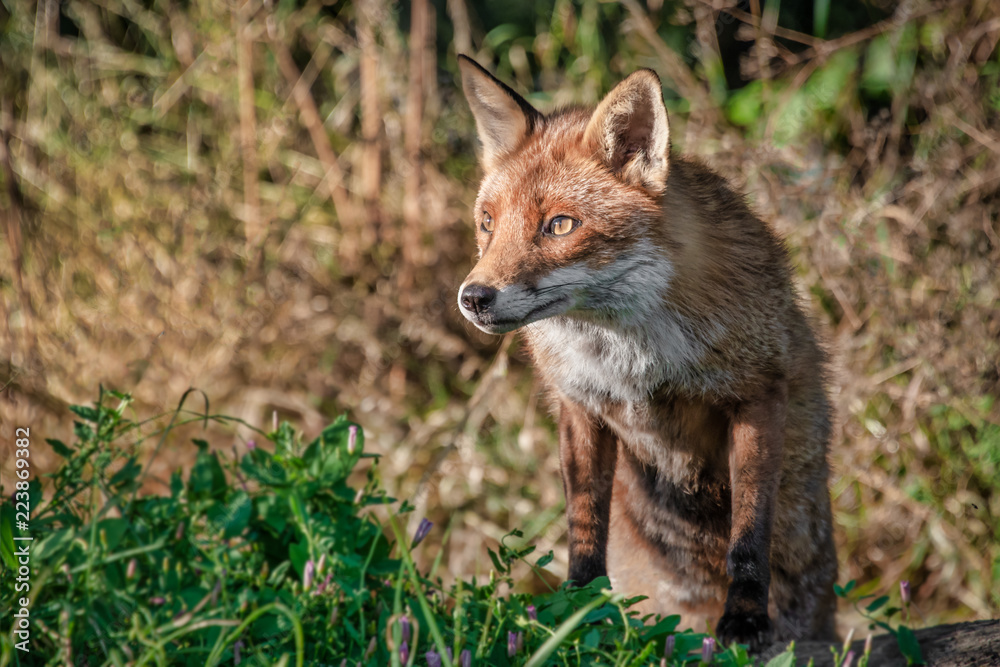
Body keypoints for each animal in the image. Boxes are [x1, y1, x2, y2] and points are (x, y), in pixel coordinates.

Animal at [458, 57, 840, 652]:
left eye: (560, 225)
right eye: (488, 223)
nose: (473, 298)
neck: (632, 360)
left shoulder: (757, 392)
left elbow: (750, 530)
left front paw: (745, 619)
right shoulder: (580, 405)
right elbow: (584, 526)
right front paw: (579, 616)